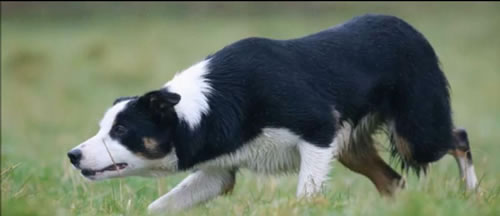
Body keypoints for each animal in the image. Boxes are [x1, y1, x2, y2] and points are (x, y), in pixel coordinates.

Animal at [66, 14, 476, 213]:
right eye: (104, 127)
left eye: (121, 130)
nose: (72, 155)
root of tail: (408, 27)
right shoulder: (218, 172)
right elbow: (159, 206)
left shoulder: (318, 130)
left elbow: (305, 195)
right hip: (351, 147)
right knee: (393, 181)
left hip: (416, 134)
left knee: (458, 138)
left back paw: (472, 193)